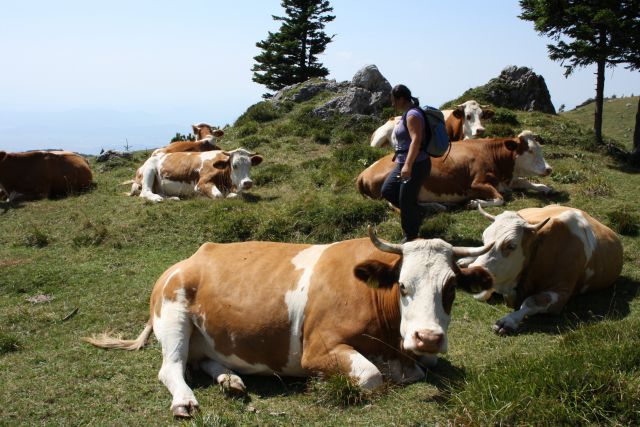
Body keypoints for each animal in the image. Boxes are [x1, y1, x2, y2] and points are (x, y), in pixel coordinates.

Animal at [358, 131, 552, 210]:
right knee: (396, 203)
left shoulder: (505, 181)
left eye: (540, 148)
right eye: (530, 150)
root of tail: (364, 173)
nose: (549, 169)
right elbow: (500, 199)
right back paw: (436, 206)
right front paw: (475, 202)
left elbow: (524, 181)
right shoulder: (477, 182)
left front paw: (544, 187)